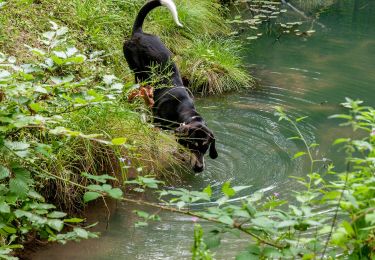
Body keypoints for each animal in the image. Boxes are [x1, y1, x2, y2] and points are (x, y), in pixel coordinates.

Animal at [124, 0, 217, 173]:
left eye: (206, 147)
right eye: (192, 145)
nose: (199, 169)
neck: (182, 108)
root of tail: (139, 33)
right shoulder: (156, 124)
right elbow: (153, 141)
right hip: (138, 74)